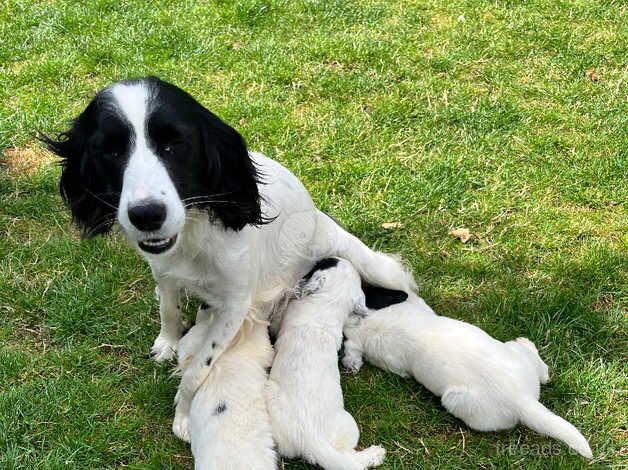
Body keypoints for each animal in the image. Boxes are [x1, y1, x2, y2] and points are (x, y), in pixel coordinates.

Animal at [44, 77, 418, 440]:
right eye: (110, 149)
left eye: (173, 144)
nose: (147, 215)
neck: (192, 236)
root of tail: (321, 221)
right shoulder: (164, 271)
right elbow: (168, 310)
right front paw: (167, 341)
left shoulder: (235, 307)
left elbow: (198, 369)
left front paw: (183, 415)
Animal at [266, 258, 386, 470]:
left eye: (324, 263)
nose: (333, 256)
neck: (327, 305)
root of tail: (311, 437)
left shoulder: (285, 317)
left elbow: (277, 320)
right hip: (348, 426)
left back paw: (376, 453)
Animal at [344, 296, 592, 458]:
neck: (373, 324)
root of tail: (522, 400)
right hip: (515, 356)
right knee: (543, 372)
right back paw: (528, 345)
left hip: (455, 401)